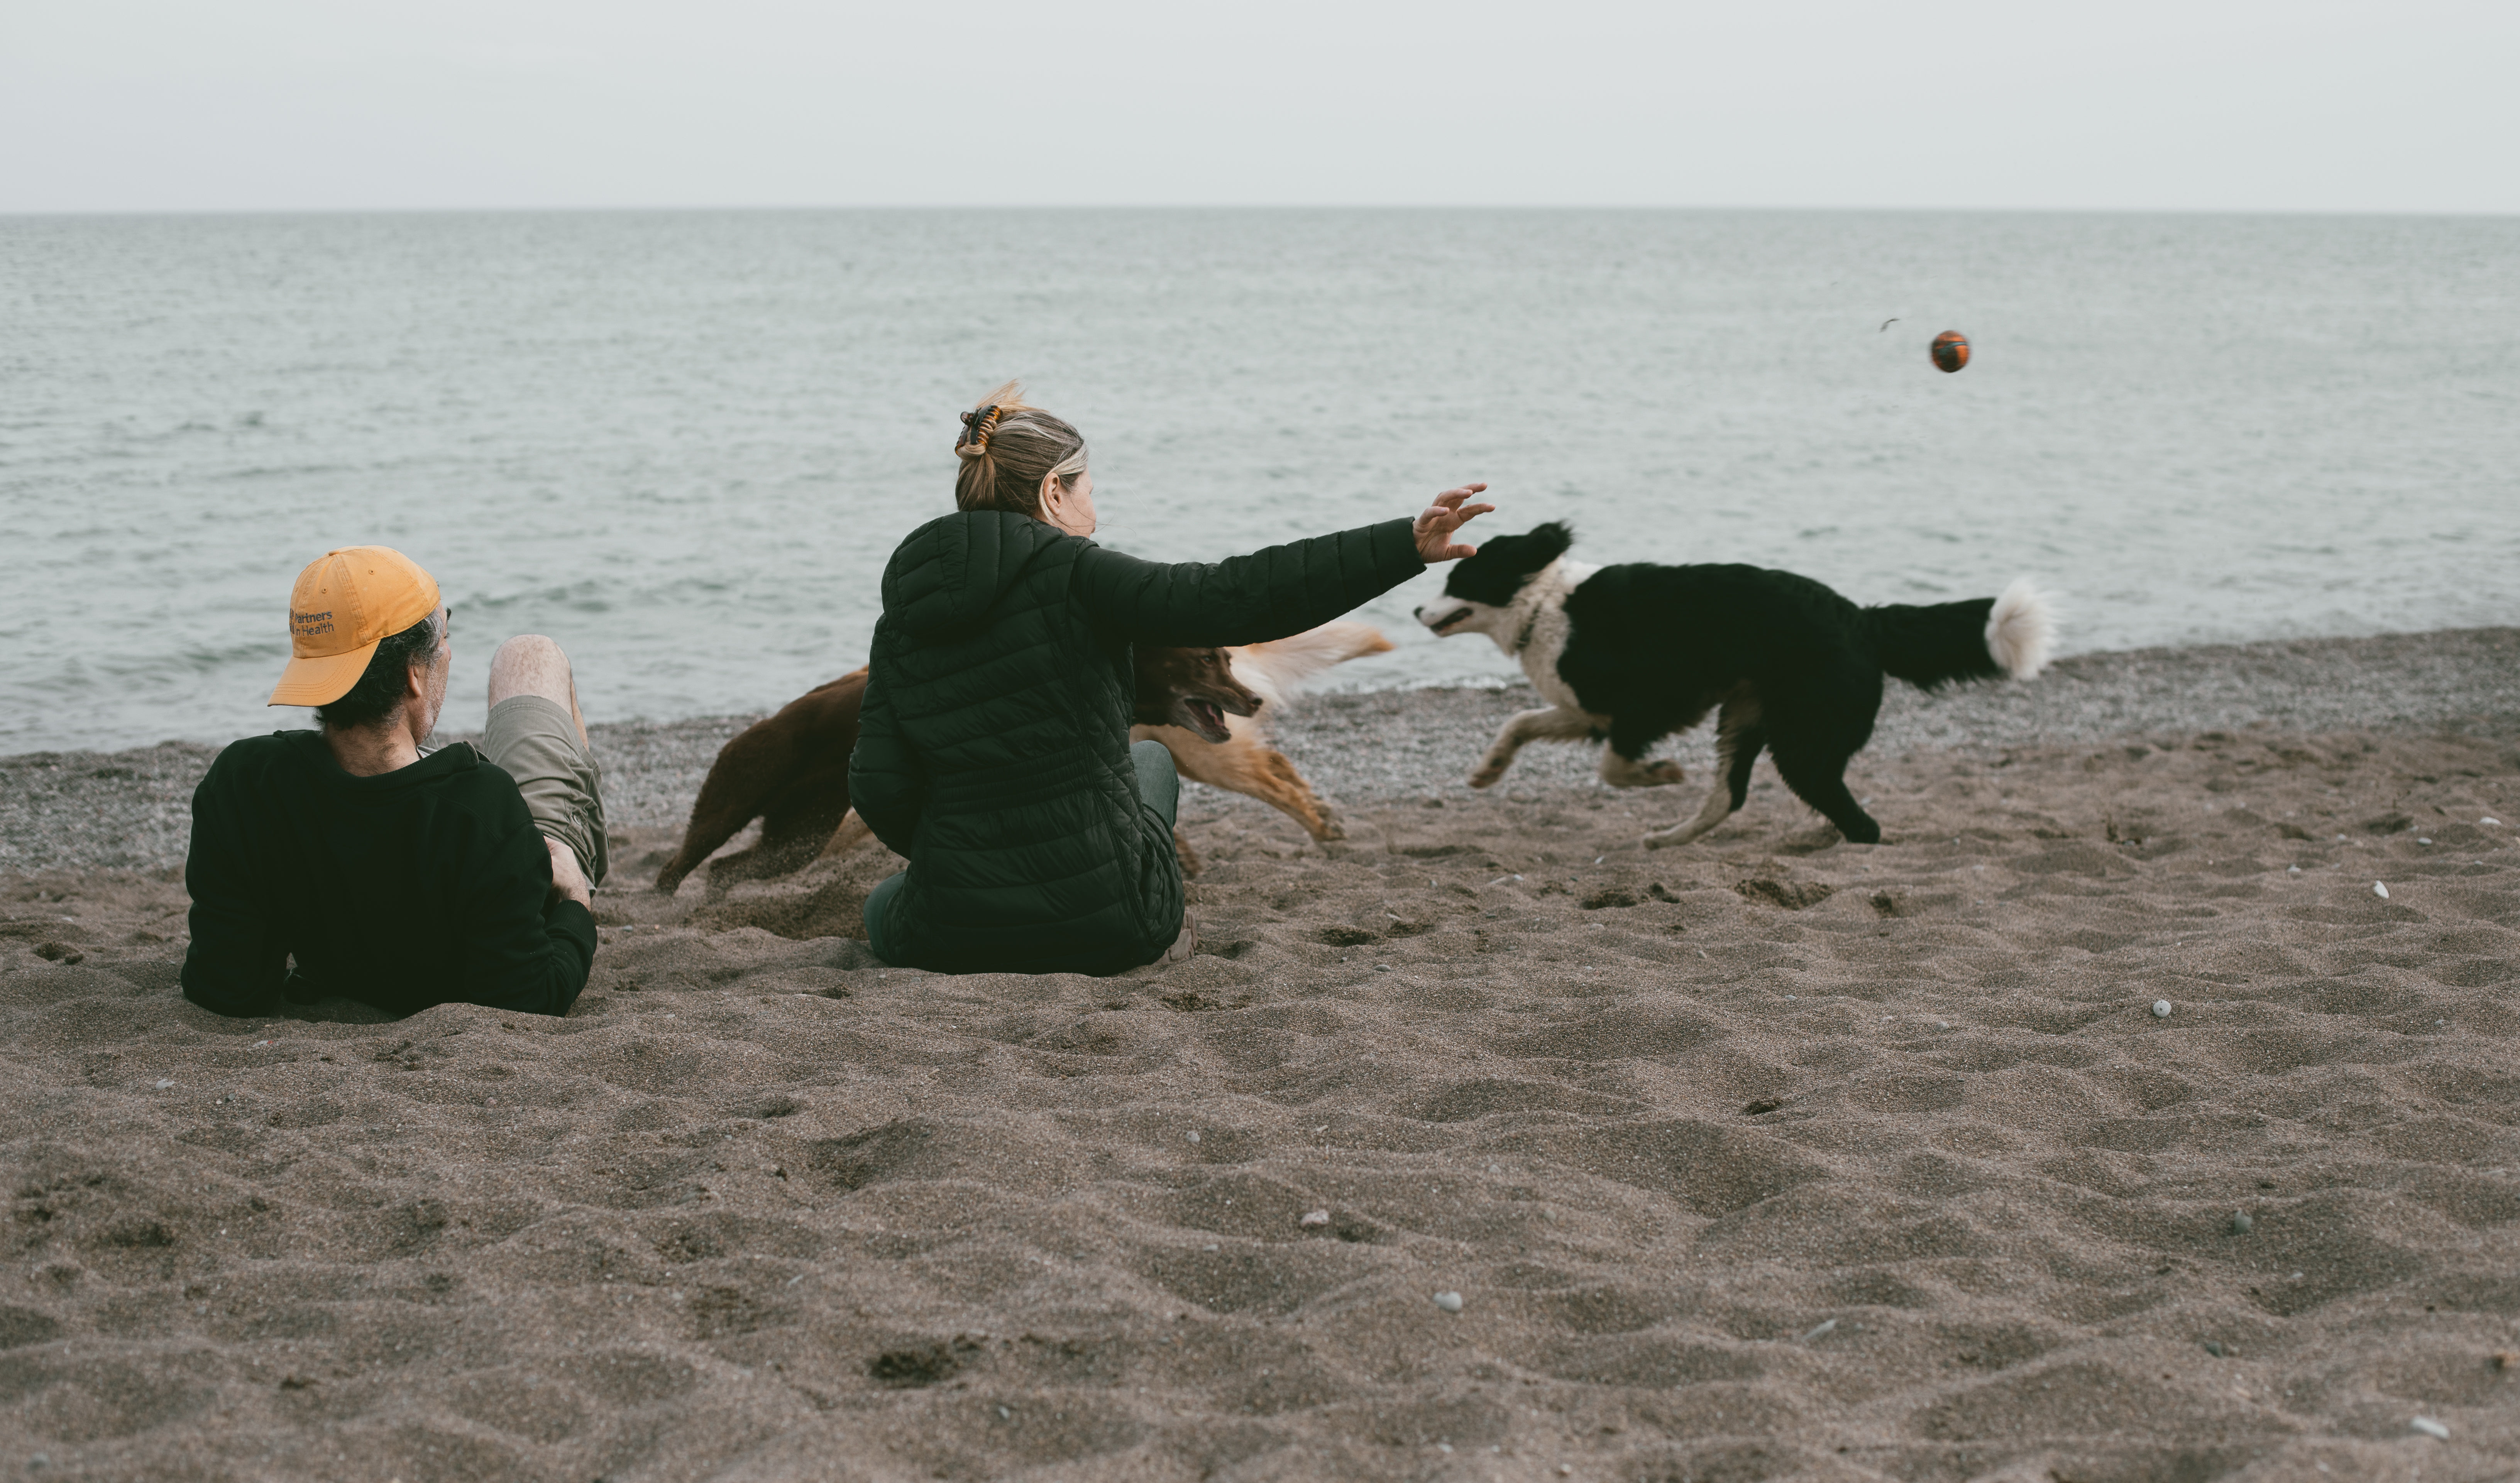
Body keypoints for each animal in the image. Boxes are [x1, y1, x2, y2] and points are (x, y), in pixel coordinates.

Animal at [1411, 521, 2056, 846]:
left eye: (1456, 578)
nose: (1417, 610)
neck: (1545, 603)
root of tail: (1862, 617)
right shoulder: (1591, 710)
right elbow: (1519, 722)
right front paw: (1487, 770)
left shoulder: (1649, 704)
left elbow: (1614, 767)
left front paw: (1659, 772)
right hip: (1747, 716)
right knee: (1730, 795)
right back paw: (1671, 838)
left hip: (1800, 742)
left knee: (1858, 821)